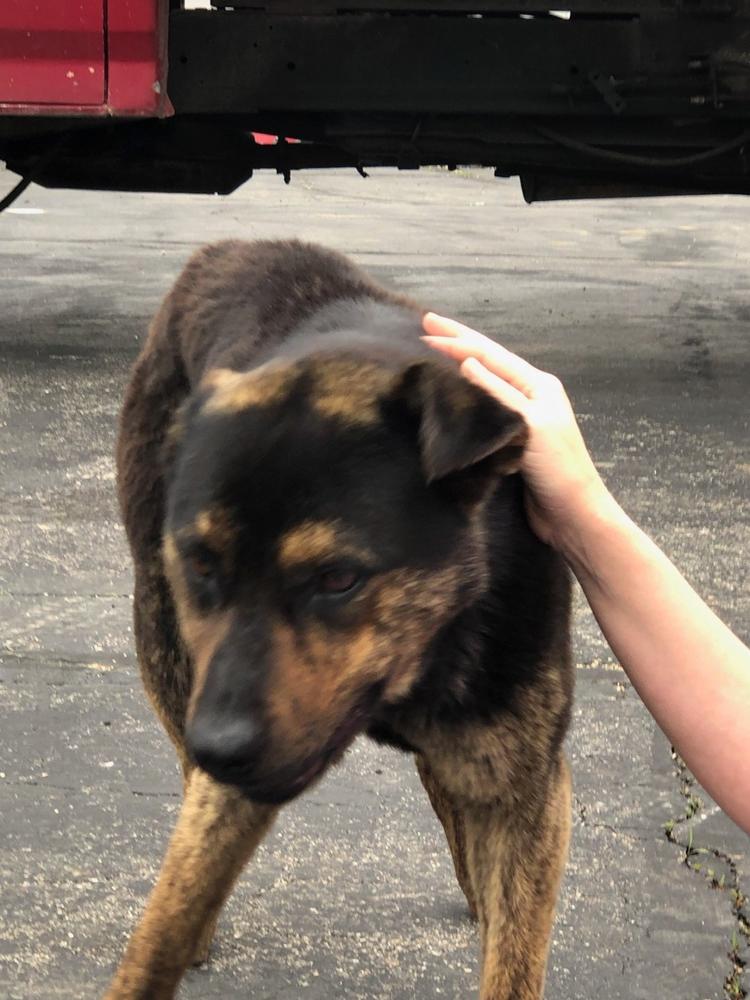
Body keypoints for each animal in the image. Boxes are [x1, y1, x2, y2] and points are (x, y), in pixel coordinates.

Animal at [107, 240, 576, 1000]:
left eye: (337, 578)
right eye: (202, 564)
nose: (220, 750)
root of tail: (229, 246)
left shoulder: (524, 784)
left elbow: (514, 958)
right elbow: (161, 927)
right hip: (162, 633)